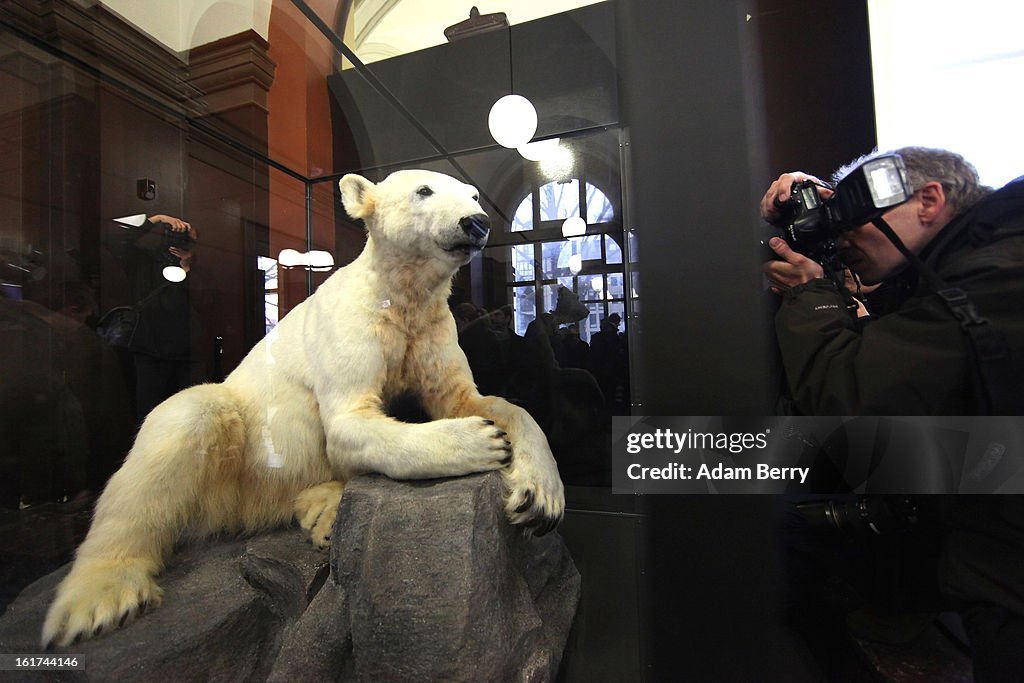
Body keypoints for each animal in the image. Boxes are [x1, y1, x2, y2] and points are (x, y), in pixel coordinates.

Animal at [39, 167, 565, 651]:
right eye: (424, 190)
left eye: (473, 195)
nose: (476, 222)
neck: (399, 296)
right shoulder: (353, 324)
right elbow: (349, 422)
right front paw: (480, 440)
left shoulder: (431, 329)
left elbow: (477, 400)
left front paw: (538, 496)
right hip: (246, 445)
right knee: (183, 422)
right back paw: (101, 594)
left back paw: (321, 509)